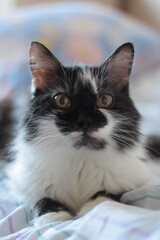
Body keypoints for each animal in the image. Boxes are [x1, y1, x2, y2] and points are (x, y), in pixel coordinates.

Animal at [5, 40, 160, 226]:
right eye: (62, 100)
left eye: (104, 100)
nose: (85, 122)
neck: (80, 159)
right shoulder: (27, 183)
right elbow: (44, 198)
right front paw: (53, 217)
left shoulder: (132, 178)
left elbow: (106, 193)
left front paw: (89, 211)